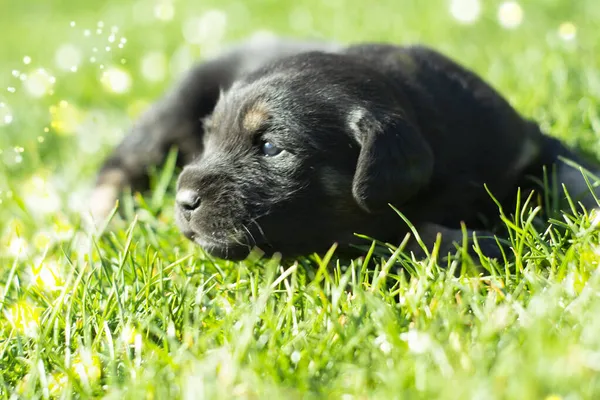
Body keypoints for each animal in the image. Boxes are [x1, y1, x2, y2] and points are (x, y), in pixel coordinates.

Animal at [90, 35, 600, 260]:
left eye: (270, 147)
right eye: (209, 138)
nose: (184, 200)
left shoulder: (524, 139)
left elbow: (573, 172)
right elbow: (408, 231)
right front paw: (487, 242)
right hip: (171, 107)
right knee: (117, 167)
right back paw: (100, 224)